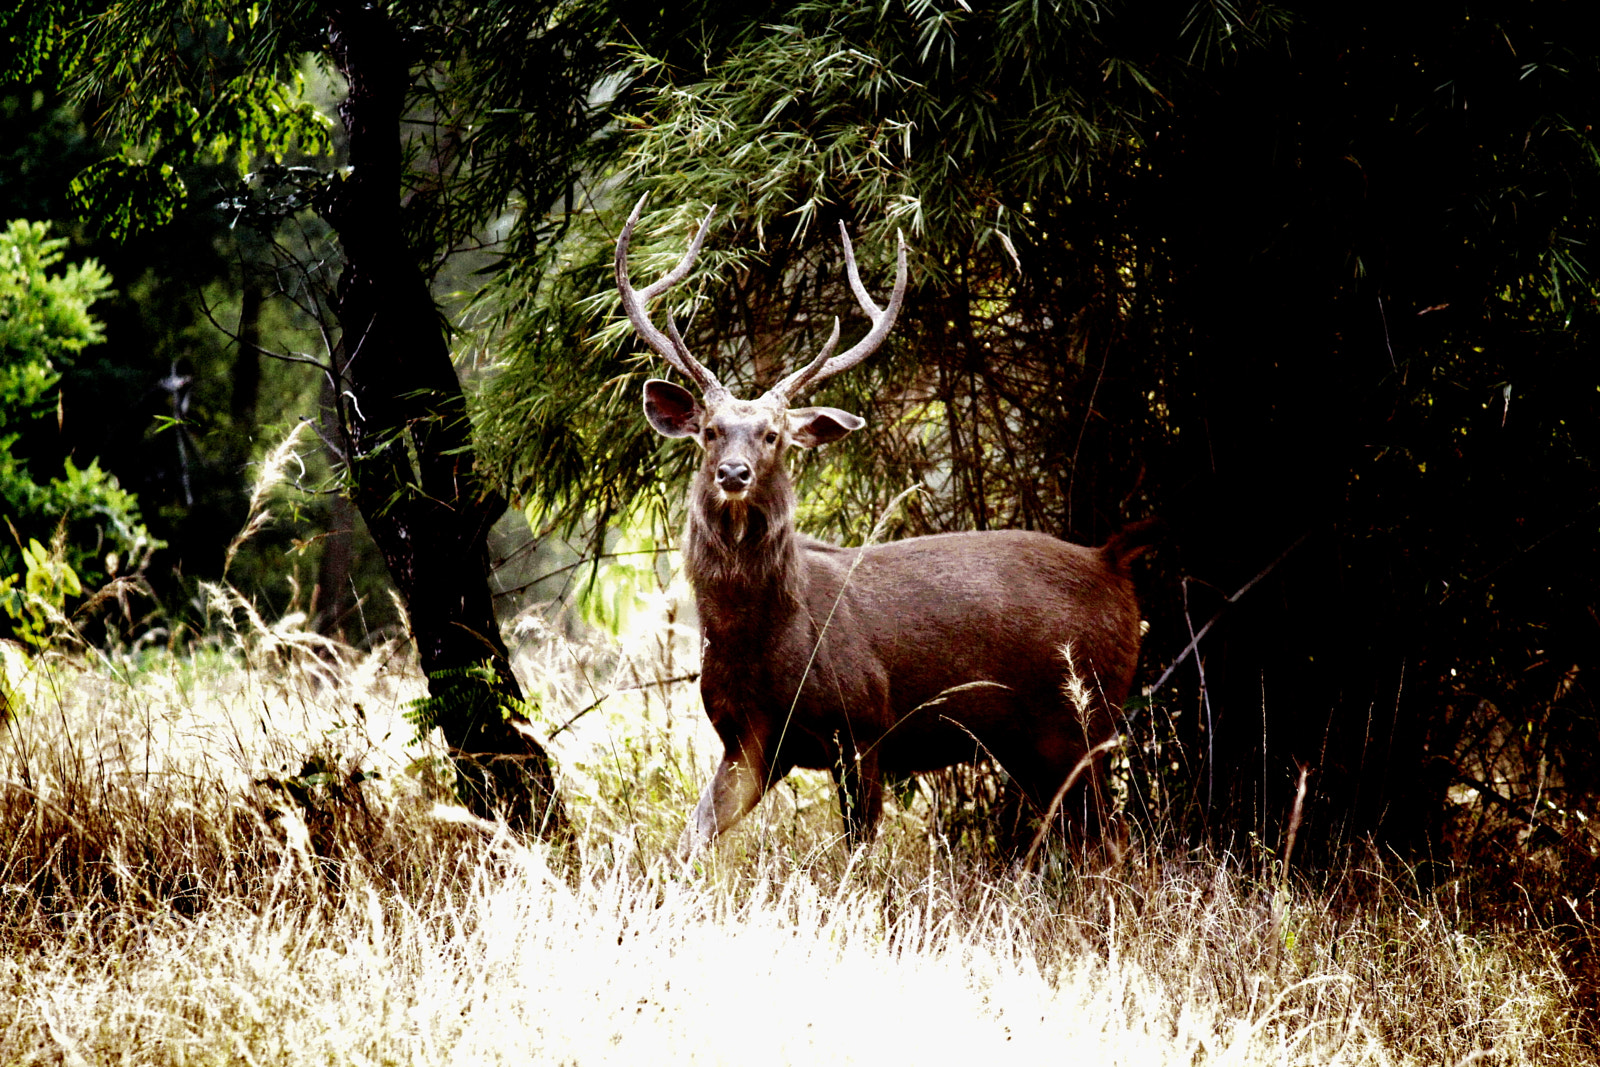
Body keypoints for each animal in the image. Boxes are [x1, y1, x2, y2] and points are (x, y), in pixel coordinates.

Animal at [616, 196, 1154, 856]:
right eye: (711, 430)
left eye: (773, 435)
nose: (734, 472)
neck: (764, 639)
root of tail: (1111, 558)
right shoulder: (747, 739)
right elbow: (692, 840)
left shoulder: (863, 724)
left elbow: (859, 852)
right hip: (1035, 736)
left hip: (1086, 710)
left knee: (1117, 836)